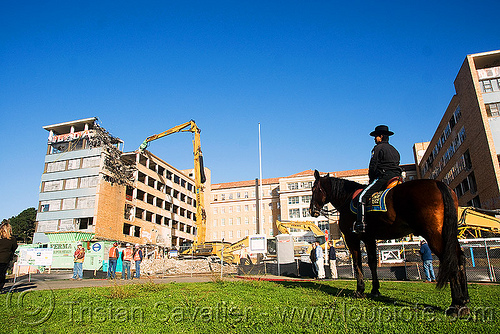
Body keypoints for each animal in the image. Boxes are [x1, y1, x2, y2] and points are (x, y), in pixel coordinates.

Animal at [308, 171, 468, 314]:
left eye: (314, 188)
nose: (311, 210)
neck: (346, 199)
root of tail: (439, 184)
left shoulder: (352, 237)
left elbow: (358, 262)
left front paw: (360, 290)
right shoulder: (369, 238)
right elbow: (372, 262)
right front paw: (375, 290)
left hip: (433, 234)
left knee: (450, 260)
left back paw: (456, 305)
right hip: (448, 234)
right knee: (460, 258)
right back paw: (464, 299)